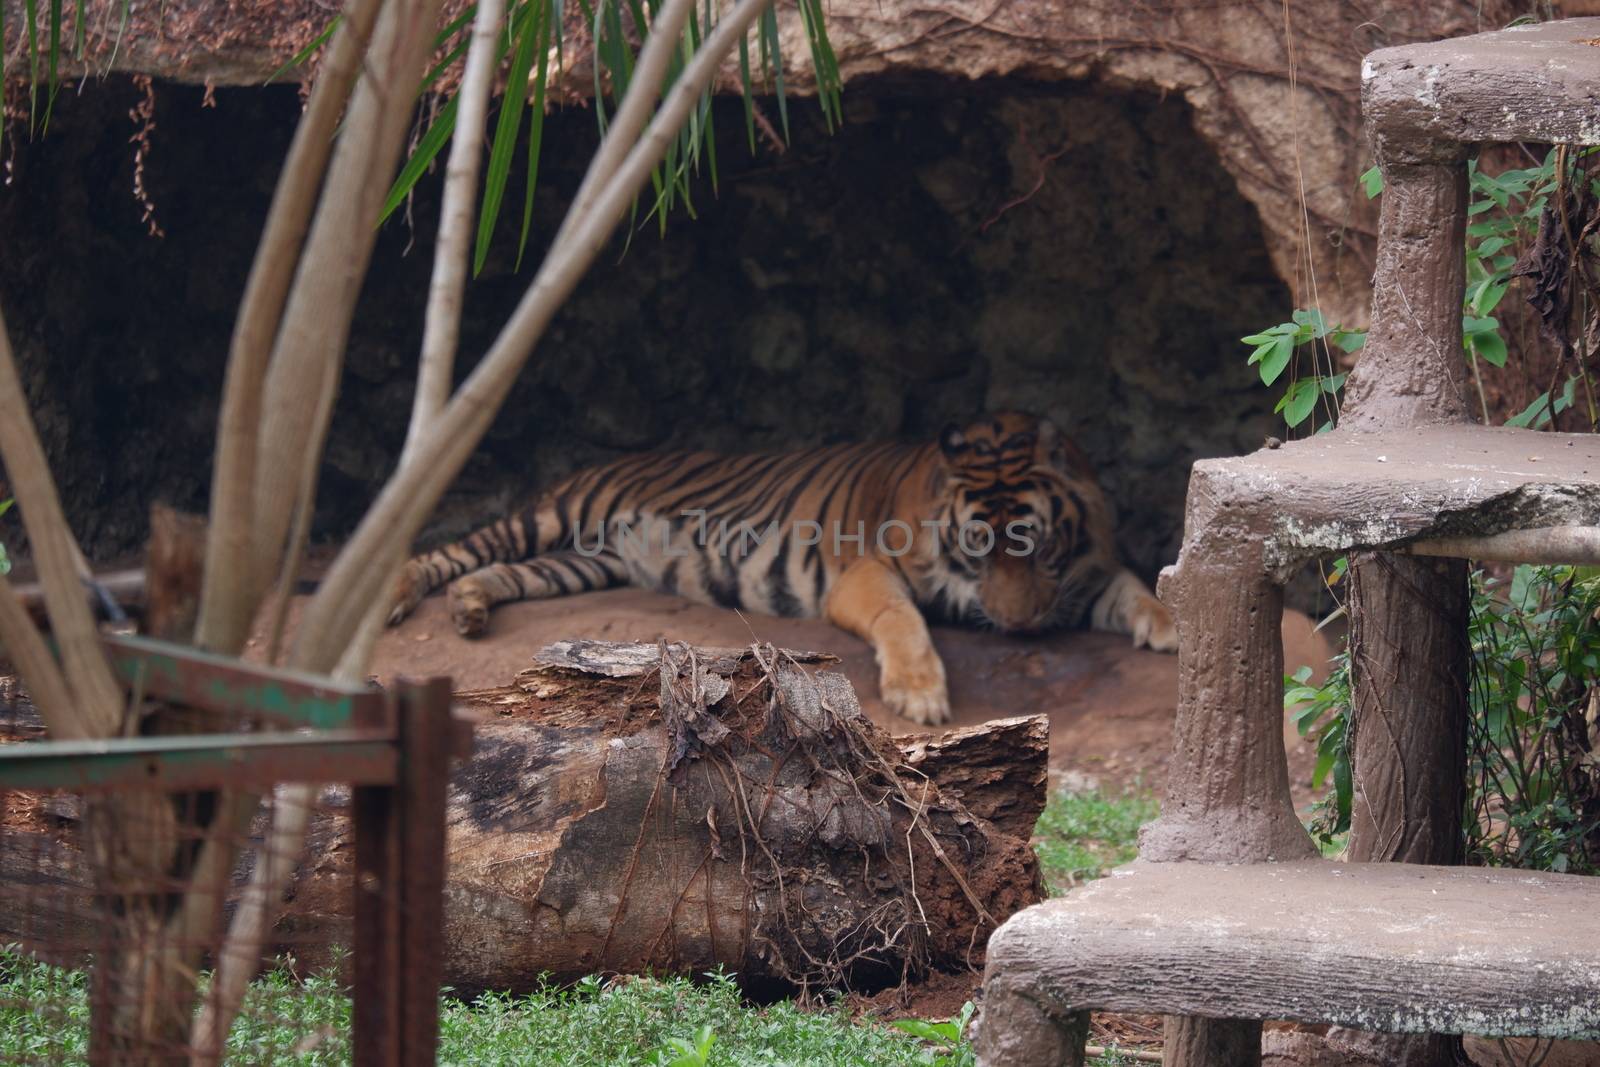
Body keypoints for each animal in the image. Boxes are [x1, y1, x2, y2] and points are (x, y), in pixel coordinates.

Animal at [390, 409, 1177, 726]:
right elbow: (903, 618)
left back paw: (468, 609)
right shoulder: (865, 571)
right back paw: (400, 594)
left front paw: (1171, 624)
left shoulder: (1085, 570)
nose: (1022, 628)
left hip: (584, 562)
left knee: (499, 575)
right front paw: (920, 695)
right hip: (551, 518)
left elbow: (1135, 590)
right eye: (978, 551)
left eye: (1037, 546)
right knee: (452, 550)